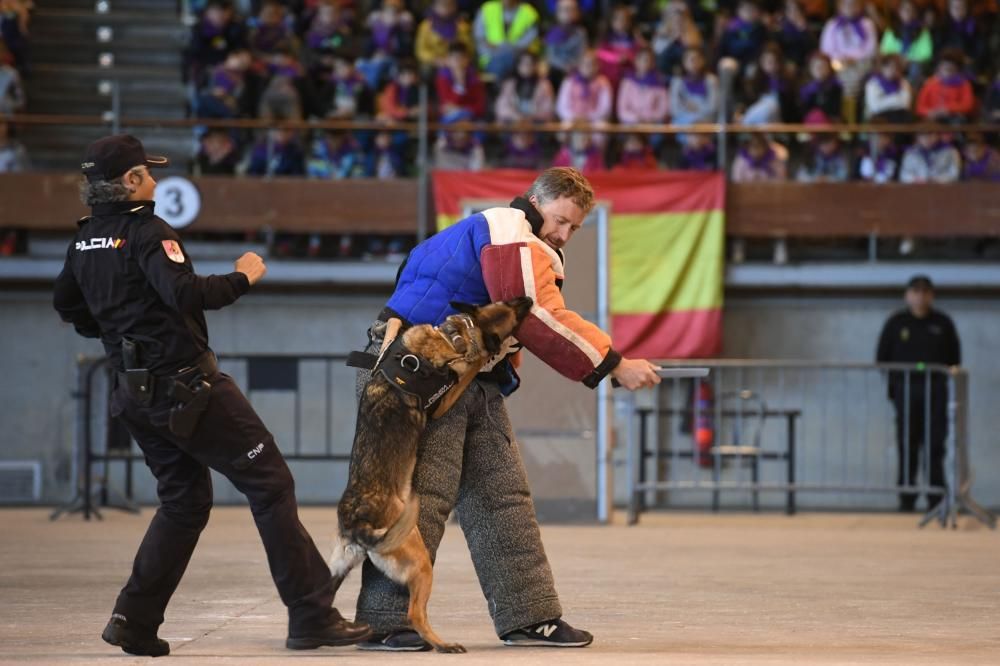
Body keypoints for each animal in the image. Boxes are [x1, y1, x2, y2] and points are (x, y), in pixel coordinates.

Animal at [332, 296, 536, 648]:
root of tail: (358, 527)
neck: (450, 337)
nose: (529, 299)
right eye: (514, 312)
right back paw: (442, 644)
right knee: (416, 614)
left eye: (506, 300)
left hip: (339, 564)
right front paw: (478, 357)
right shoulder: (445, 399)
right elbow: (468, 369)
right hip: (421, 561)